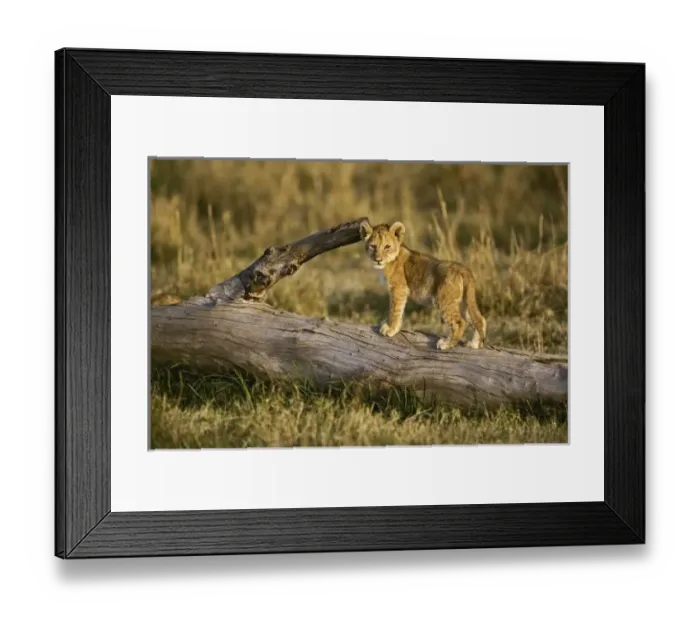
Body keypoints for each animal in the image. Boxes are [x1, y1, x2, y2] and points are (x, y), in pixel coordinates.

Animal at [359, 220, 487, 350]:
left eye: (387, 247)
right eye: (373, 246)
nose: (378, 260)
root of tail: (463, 270)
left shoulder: (399, 289)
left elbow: (394, 310)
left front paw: (390, 329)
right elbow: (399, 311)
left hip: (443, 300)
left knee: (459, 323)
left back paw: (446, 344)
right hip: (464, 302)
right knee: (480, 319)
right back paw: (474, 344)